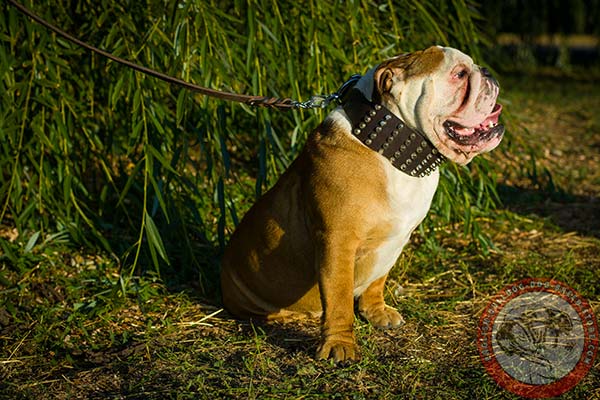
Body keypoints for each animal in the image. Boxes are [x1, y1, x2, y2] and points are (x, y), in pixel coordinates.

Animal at [220, 46, 502, 362]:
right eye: (460, 74)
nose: (488, 71)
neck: (388, 147)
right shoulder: (337, 242)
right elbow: (339, 298)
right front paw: (339, 344)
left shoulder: (395, 241)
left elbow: (378, 278)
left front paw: (375, 312)